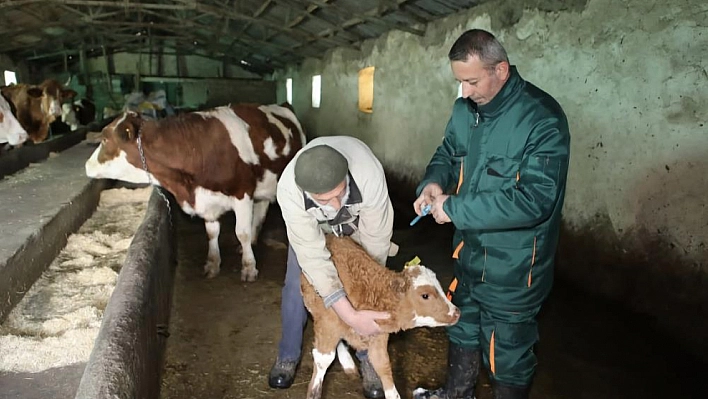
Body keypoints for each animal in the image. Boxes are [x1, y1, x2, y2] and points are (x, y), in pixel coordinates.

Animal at [84, 104, 306, 282]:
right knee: (261, 207)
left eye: (104, 139)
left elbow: (241, 232)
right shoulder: (206, 201)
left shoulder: (242, 193)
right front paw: (213, 264)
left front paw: (249, 267)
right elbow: (212, 233)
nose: (87, 166)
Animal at [302, 236, 462, 399]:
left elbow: (383, 365)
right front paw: (313, 393)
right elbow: (324, 359)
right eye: (425, 295)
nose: (456, 312)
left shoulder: (378, 336)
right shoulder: (328, 323)